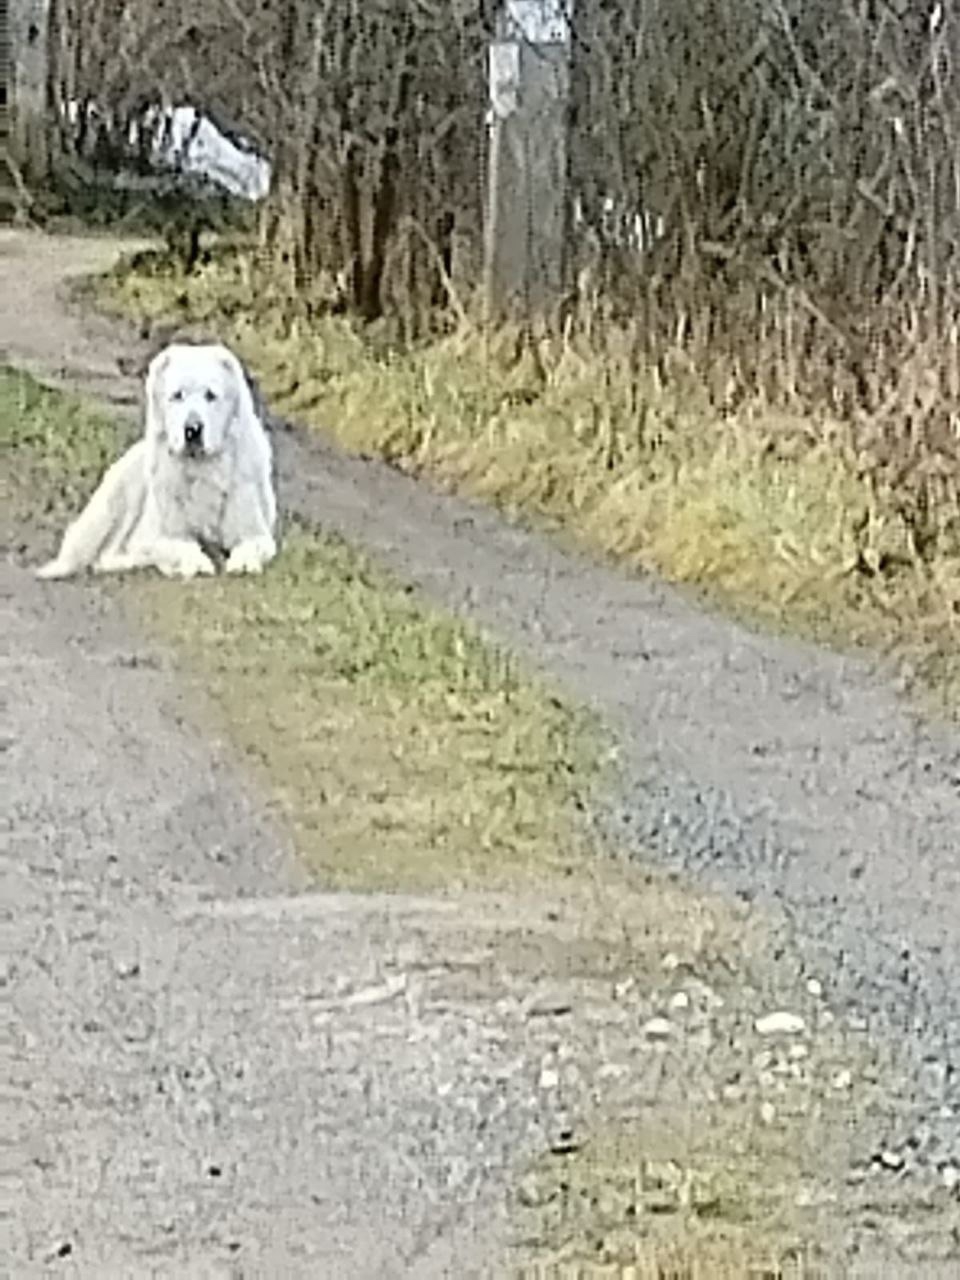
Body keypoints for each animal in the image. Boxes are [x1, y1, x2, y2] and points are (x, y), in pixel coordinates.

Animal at [36, 342, 278, 580]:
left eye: (210, 395)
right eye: (178, 395)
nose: (192, 430)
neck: (200, 468)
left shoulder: (256, 532)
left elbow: (251, 545)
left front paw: (243, 563)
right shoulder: (160, 535)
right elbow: (183, 546)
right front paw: (195, 563)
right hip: (117, 500)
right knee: (100, 552)